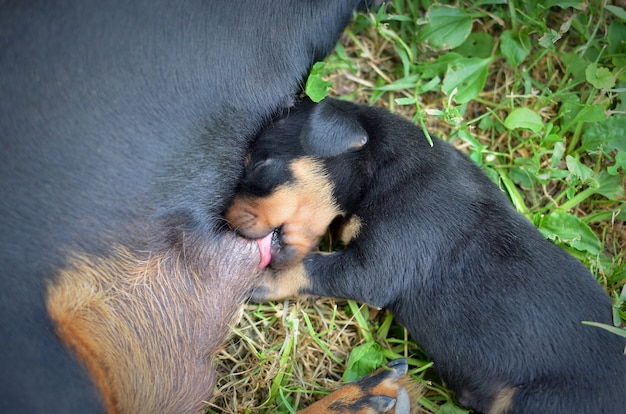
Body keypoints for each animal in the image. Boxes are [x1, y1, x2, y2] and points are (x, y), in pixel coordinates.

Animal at [224, 98, 624, 414]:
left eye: (260, 166)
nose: (224, 220)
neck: (380, 167)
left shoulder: (377, 267)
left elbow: (308, 267)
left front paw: (256, 281)